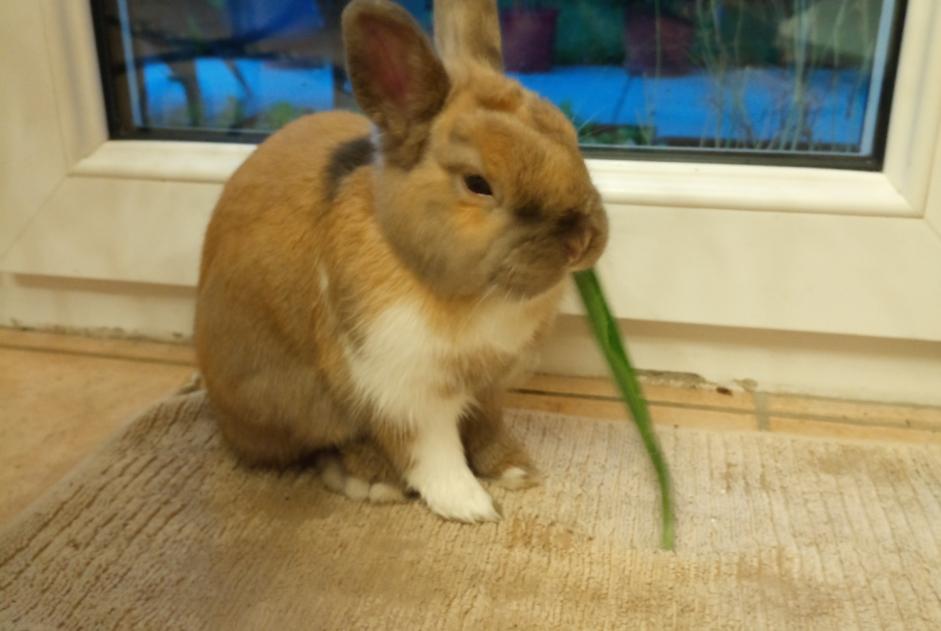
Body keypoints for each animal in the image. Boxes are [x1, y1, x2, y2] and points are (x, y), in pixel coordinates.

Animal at [196, 0, 608, 524]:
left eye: (572, 140)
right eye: (478, 183)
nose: (582, 240)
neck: (471, 295)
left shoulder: (488, 387)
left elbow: (488, 427)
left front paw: (515, 471)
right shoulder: (403, 390)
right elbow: (432, 453)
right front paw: (471, 506)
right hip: (292, 402)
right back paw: (370, 481)